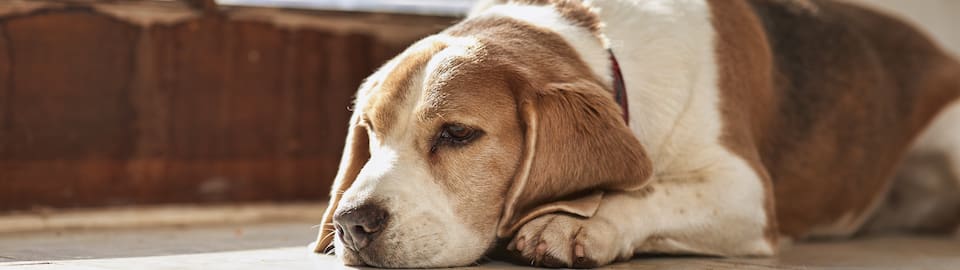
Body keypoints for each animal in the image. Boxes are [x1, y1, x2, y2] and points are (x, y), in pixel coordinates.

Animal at [312, 0, 956, 268]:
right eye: (370, 132)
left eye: (457, 134)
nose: (352, 223)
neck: (605, 47)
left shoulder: (745, 190)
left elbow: (651, 188)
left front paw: (576, 223)